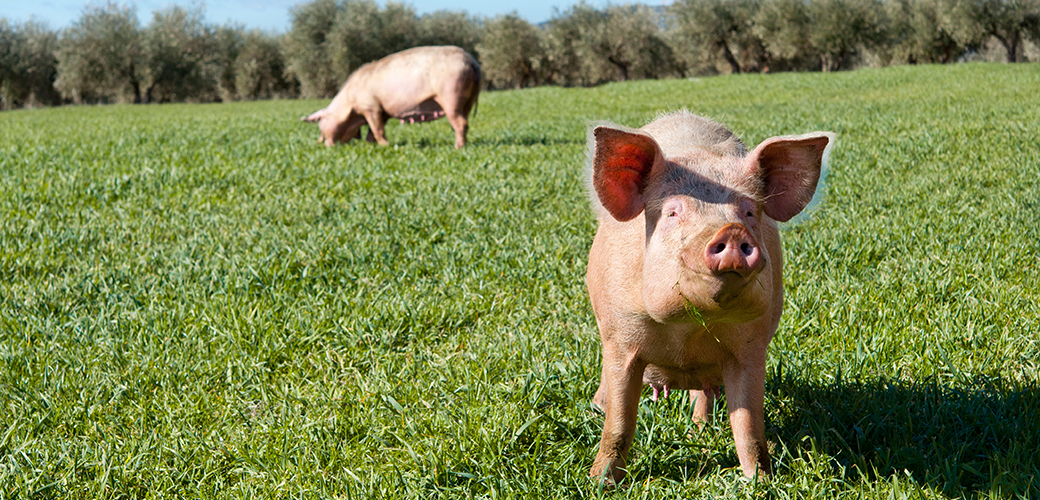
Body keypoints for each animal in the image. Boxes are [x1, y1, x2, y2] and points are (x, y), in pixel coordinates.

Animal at [302, 46, 481, 149]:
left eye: (321, 123)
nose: (323, 144)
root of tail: (471, 61)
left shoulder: (371, 107)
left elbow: (377, 129)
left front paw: (387, 146)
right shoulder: (383, 111)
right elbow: (372, 131)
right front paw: (370, 145)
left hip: (451, 95)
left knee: (461, 123)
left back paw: (457, 148)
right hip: (467, 100)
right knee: (465, 121)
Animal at [585, 110, 833, 484]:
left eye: (749, 211)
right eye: (672, 212)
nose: (730, 232)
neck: (688, 329)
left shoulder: (751, 347)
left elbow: (749, 426)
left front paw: (761, 481)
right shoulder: (620, 336)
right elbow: (619, 422)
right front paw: (598, 482)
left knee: (702, 395)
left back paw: (700, 431)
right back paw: (596, 408)